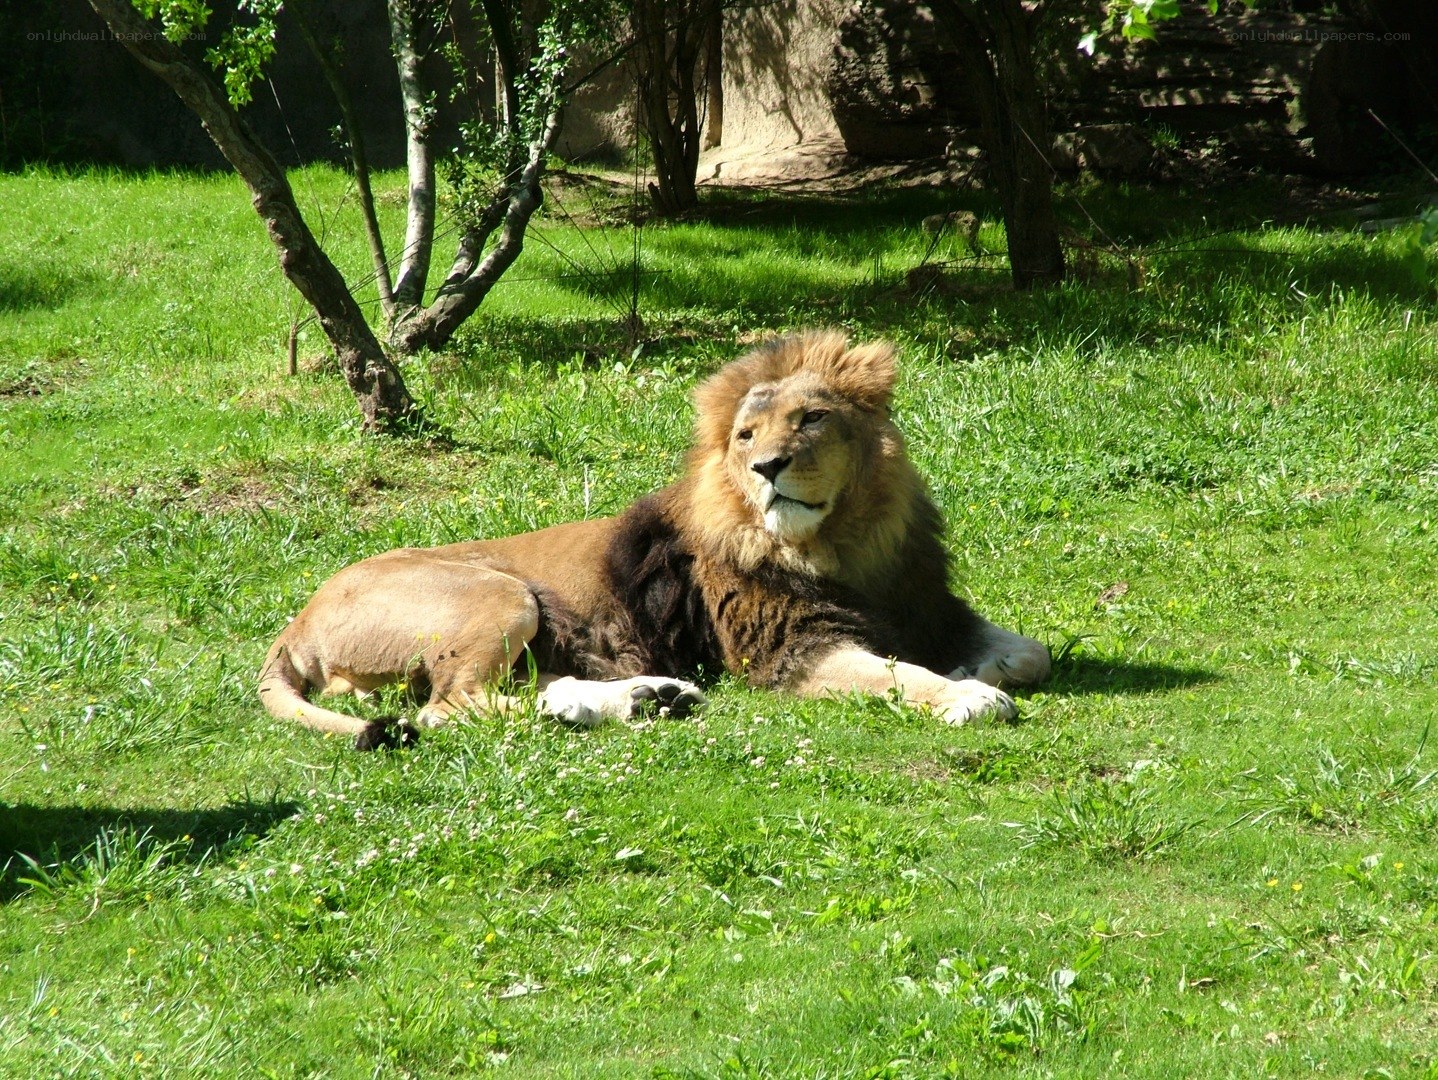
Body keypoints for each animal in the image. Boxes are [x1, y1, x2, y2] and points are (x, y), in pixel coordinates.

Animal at [258, 331, 1051, 749]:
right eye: (746, 436)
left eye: (812, 419)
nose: (767, 468)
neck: (843, 544)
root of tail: (296, 622)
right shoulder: (791, 652)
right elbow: (898, 674)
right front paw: (968, 694)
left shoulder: (927, 605)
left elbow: (1031, 652)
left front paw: (986, 666)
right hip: (499, 594)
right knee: (450, 707)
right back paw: (598, 708)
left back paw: (645, 696)